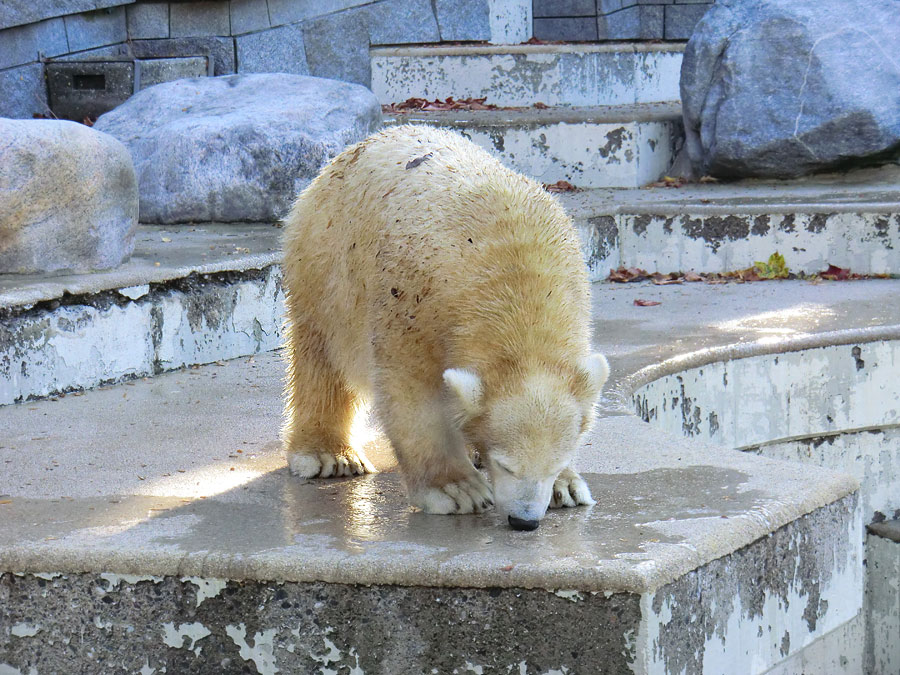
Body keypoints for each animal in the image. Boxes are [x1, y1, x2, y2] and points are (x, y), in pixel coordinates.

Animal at [284, 125, 608, 528]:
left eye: (553, 464)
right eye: (506, 465)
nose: (525, 521)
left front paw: (567, 486)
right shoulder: (415, 303)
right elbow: (414, 394)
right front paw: (456, 490)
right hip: (327, 267)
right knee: (322, 357)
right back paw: (329, 455)